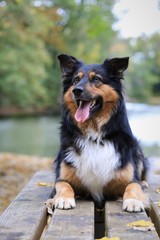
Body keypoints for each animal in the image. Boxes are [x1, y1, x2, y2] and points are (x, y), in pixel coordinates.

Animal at [46, 54, 149, 212]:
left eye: (96, 79)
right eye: (75, 79)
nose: (76, 90)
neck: (93, 134)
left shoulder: (130, 178)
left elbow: (133, 186)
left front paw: (133, 201)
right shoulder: (62, 177)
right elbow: (63, 185)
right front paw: (64, 198)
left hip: (137, 149)